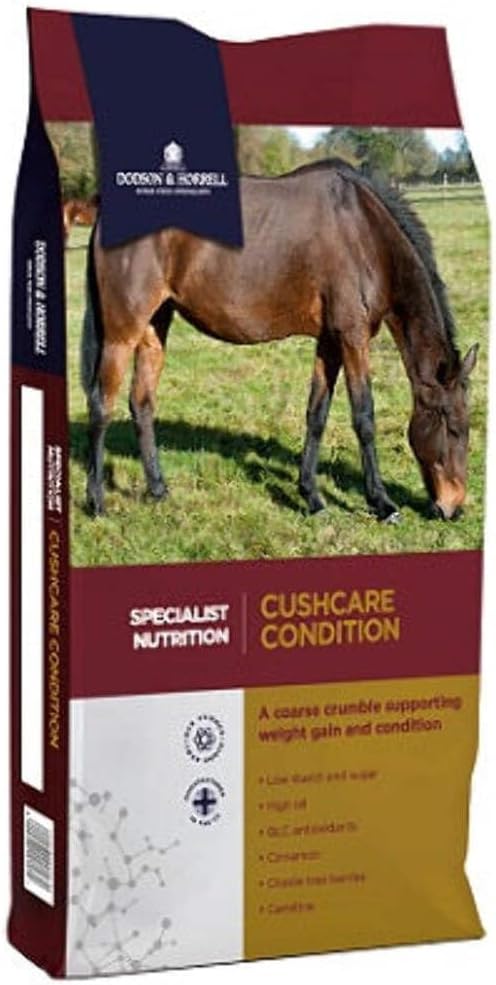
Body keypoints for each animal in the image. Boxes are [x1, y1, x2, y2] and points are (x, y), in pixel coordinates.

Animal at [81, 159, 478, 523]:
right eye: (455, 428)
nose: (453, 507)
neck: (364, 234)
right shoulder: (353, 338)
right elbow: (364, 417)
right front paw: (382, 503)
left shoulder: (330, 342)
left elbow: (316, 414)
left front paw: (312, 497)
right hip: (122, 333)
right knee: (102, 405)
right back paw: (97, 503)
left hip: (154, 326)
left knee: (141, 403)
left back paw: (158, 490)